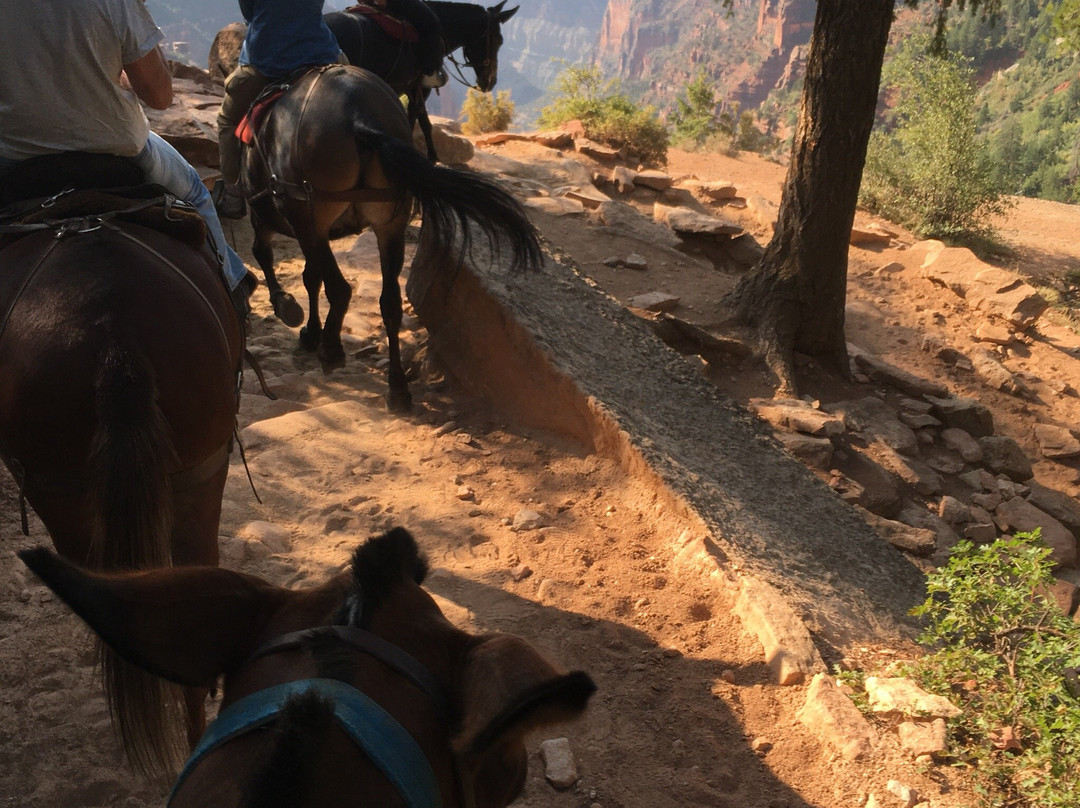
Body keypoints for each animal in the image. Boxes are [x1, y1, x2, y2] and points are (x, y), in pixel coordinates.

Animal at [239, 64, 535, 410]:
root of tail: (358, 118)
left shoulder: (278, 217)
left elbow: (279, 261)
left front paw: (294, 315)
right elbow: (310, 275)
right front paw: (307, 326)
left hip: (310, 216)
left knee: (339, 288)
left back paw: (331, 349)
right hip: (389, 225)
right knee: (390, 303)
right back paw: (397, 386)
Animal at [324, 1, 518, 162]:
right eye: (499, 40)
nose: (490, 82)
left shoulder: (409, 88)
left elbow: (413, 118)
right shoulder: (421, 87)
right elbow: (421, 121)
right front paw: (431, 156)